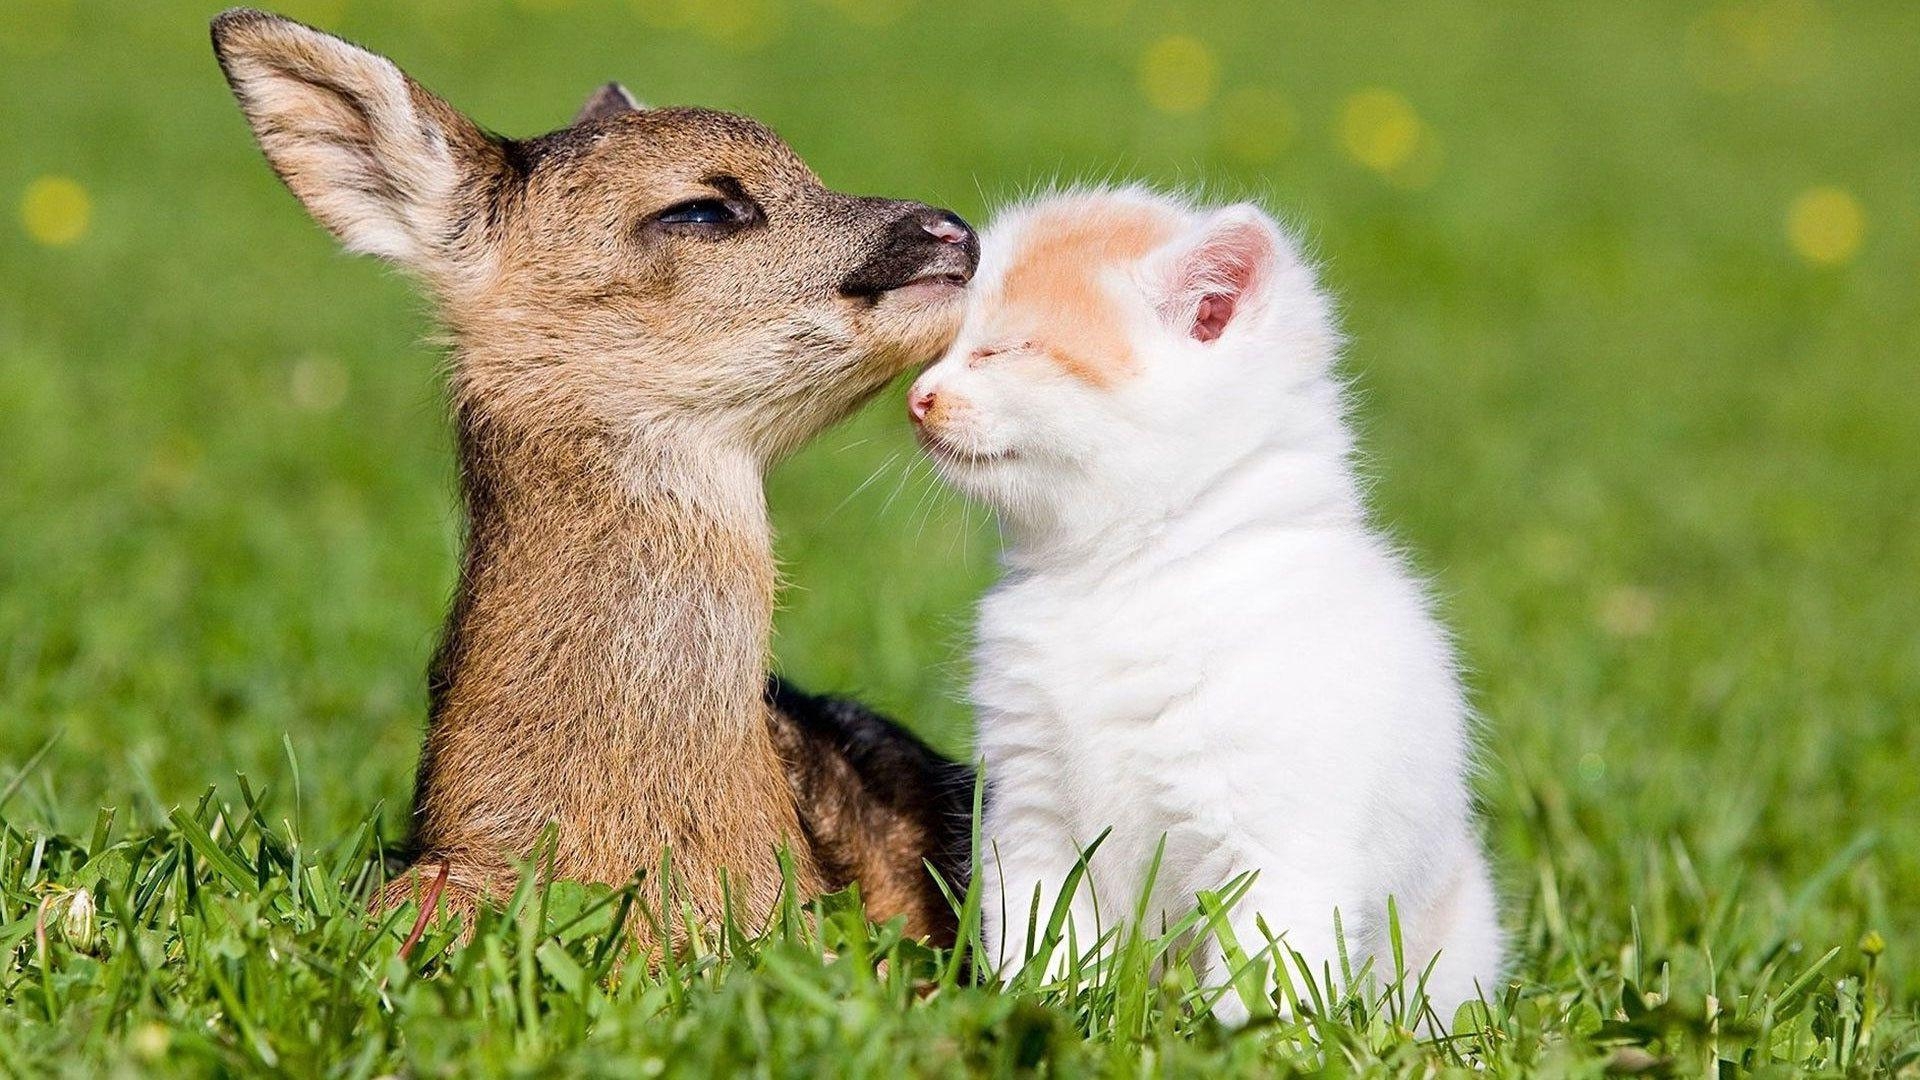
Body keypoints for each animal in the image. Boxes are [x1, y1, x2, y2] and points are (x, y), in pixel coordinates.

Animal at [910, 189, 1497, 1022]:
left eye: (1005, 350)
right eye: (940, 347)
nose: (918, 396)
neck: (1119, 577)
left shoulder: (1277, 844)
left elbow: (1270, 977)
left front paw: (1252, 1040)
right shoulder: (1033, 818)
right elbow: (1044, 940)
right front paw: (1043, 1012)